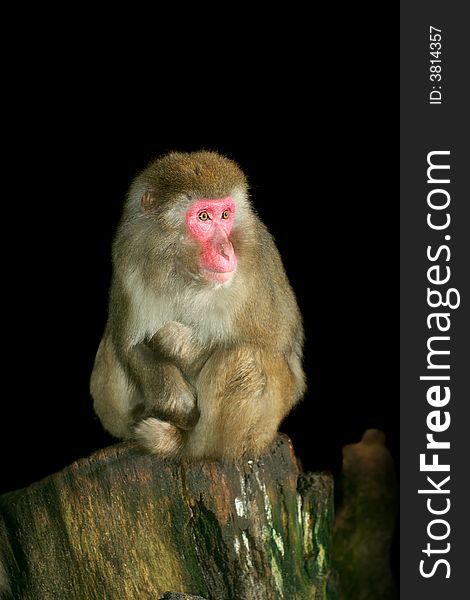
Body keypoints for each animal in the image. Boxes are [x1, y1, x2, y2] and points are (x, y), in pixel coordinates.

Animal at [90, 150, 306, 460]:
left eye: (226, 215)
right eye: (203, 217)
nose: (226, 251)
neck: (183, 269)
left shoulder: (258, 256)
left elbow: (276, 338)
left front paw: (174, 340)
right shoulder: (129, 256)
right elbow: (127, 341)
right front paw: (176, 401)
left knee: (245, 356)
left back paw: (182, 445)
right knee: (109, 346)